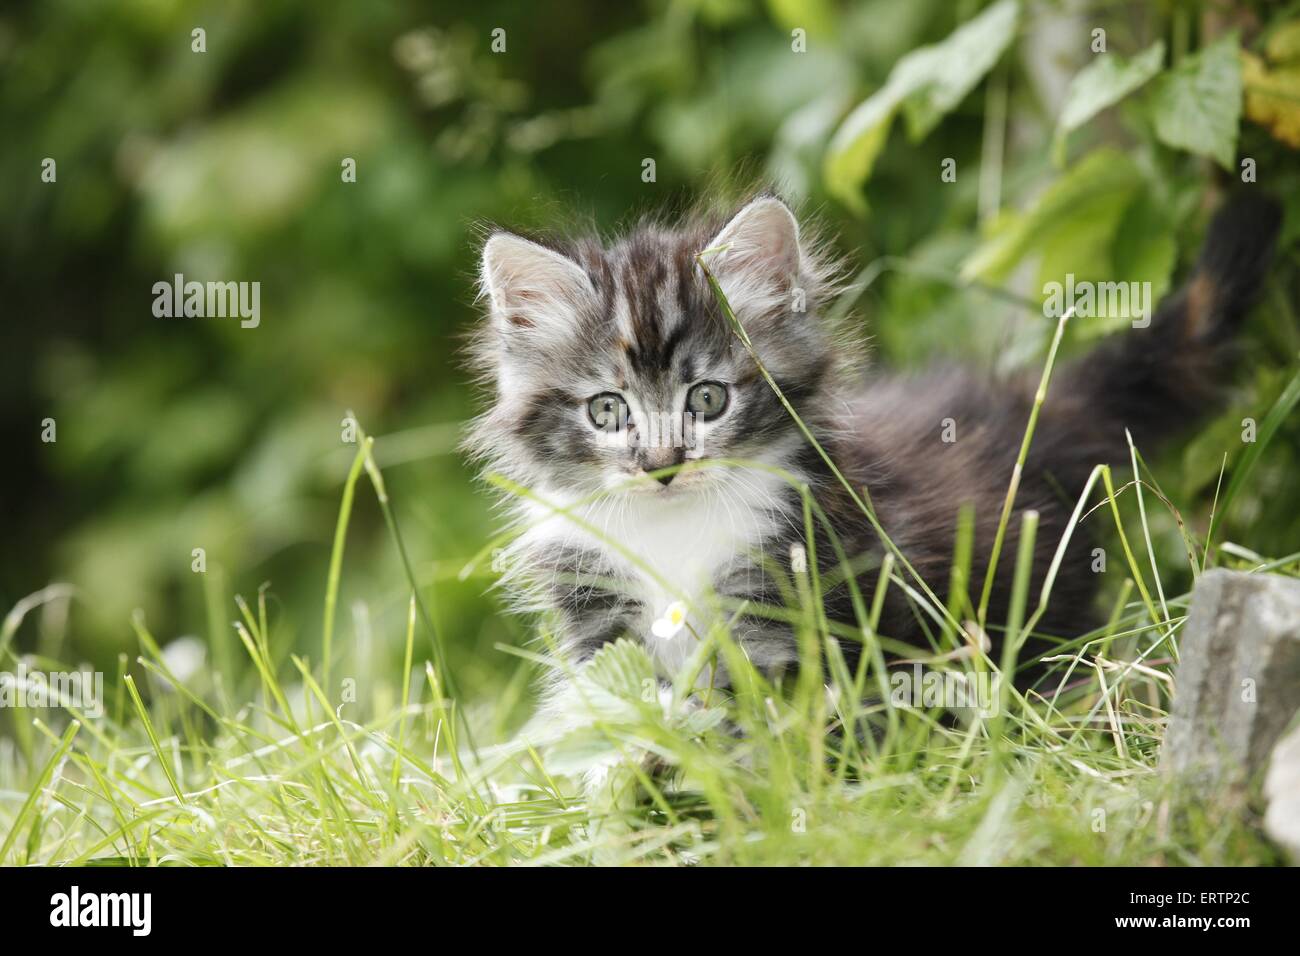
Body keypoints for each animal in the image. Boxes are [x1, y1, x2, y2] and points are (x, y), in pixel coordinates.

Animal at [467, 192, 1279, 712]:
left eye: (708, 399)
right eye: (608, 410)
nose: (662, 466)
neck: (673, 532)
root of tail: (1030, 399)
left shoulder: (790, 607)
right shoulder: (601, 626)